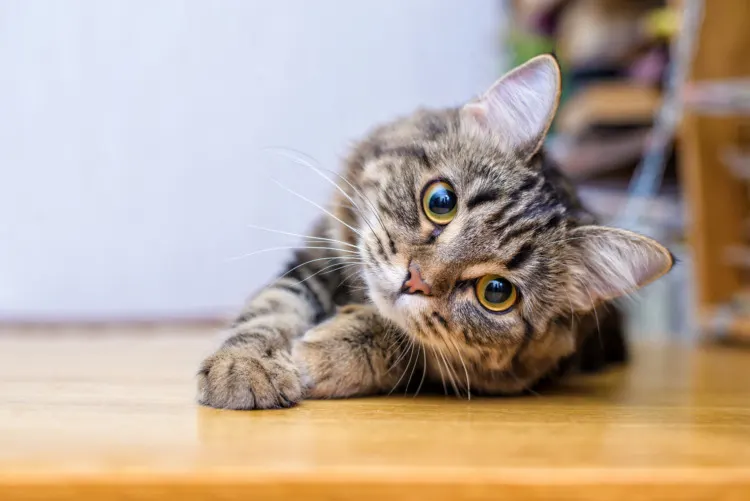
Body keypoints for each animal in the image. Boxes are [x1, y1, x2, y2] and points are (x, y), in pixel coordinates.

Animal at [197, 53, 672, 410]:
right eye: (441, 201)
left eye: (496, 292)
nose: (415, 279)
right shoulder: (316, 260)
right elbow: (270, 310)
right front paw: (244, 367)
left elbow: (400, 339)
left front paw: (322, 353)